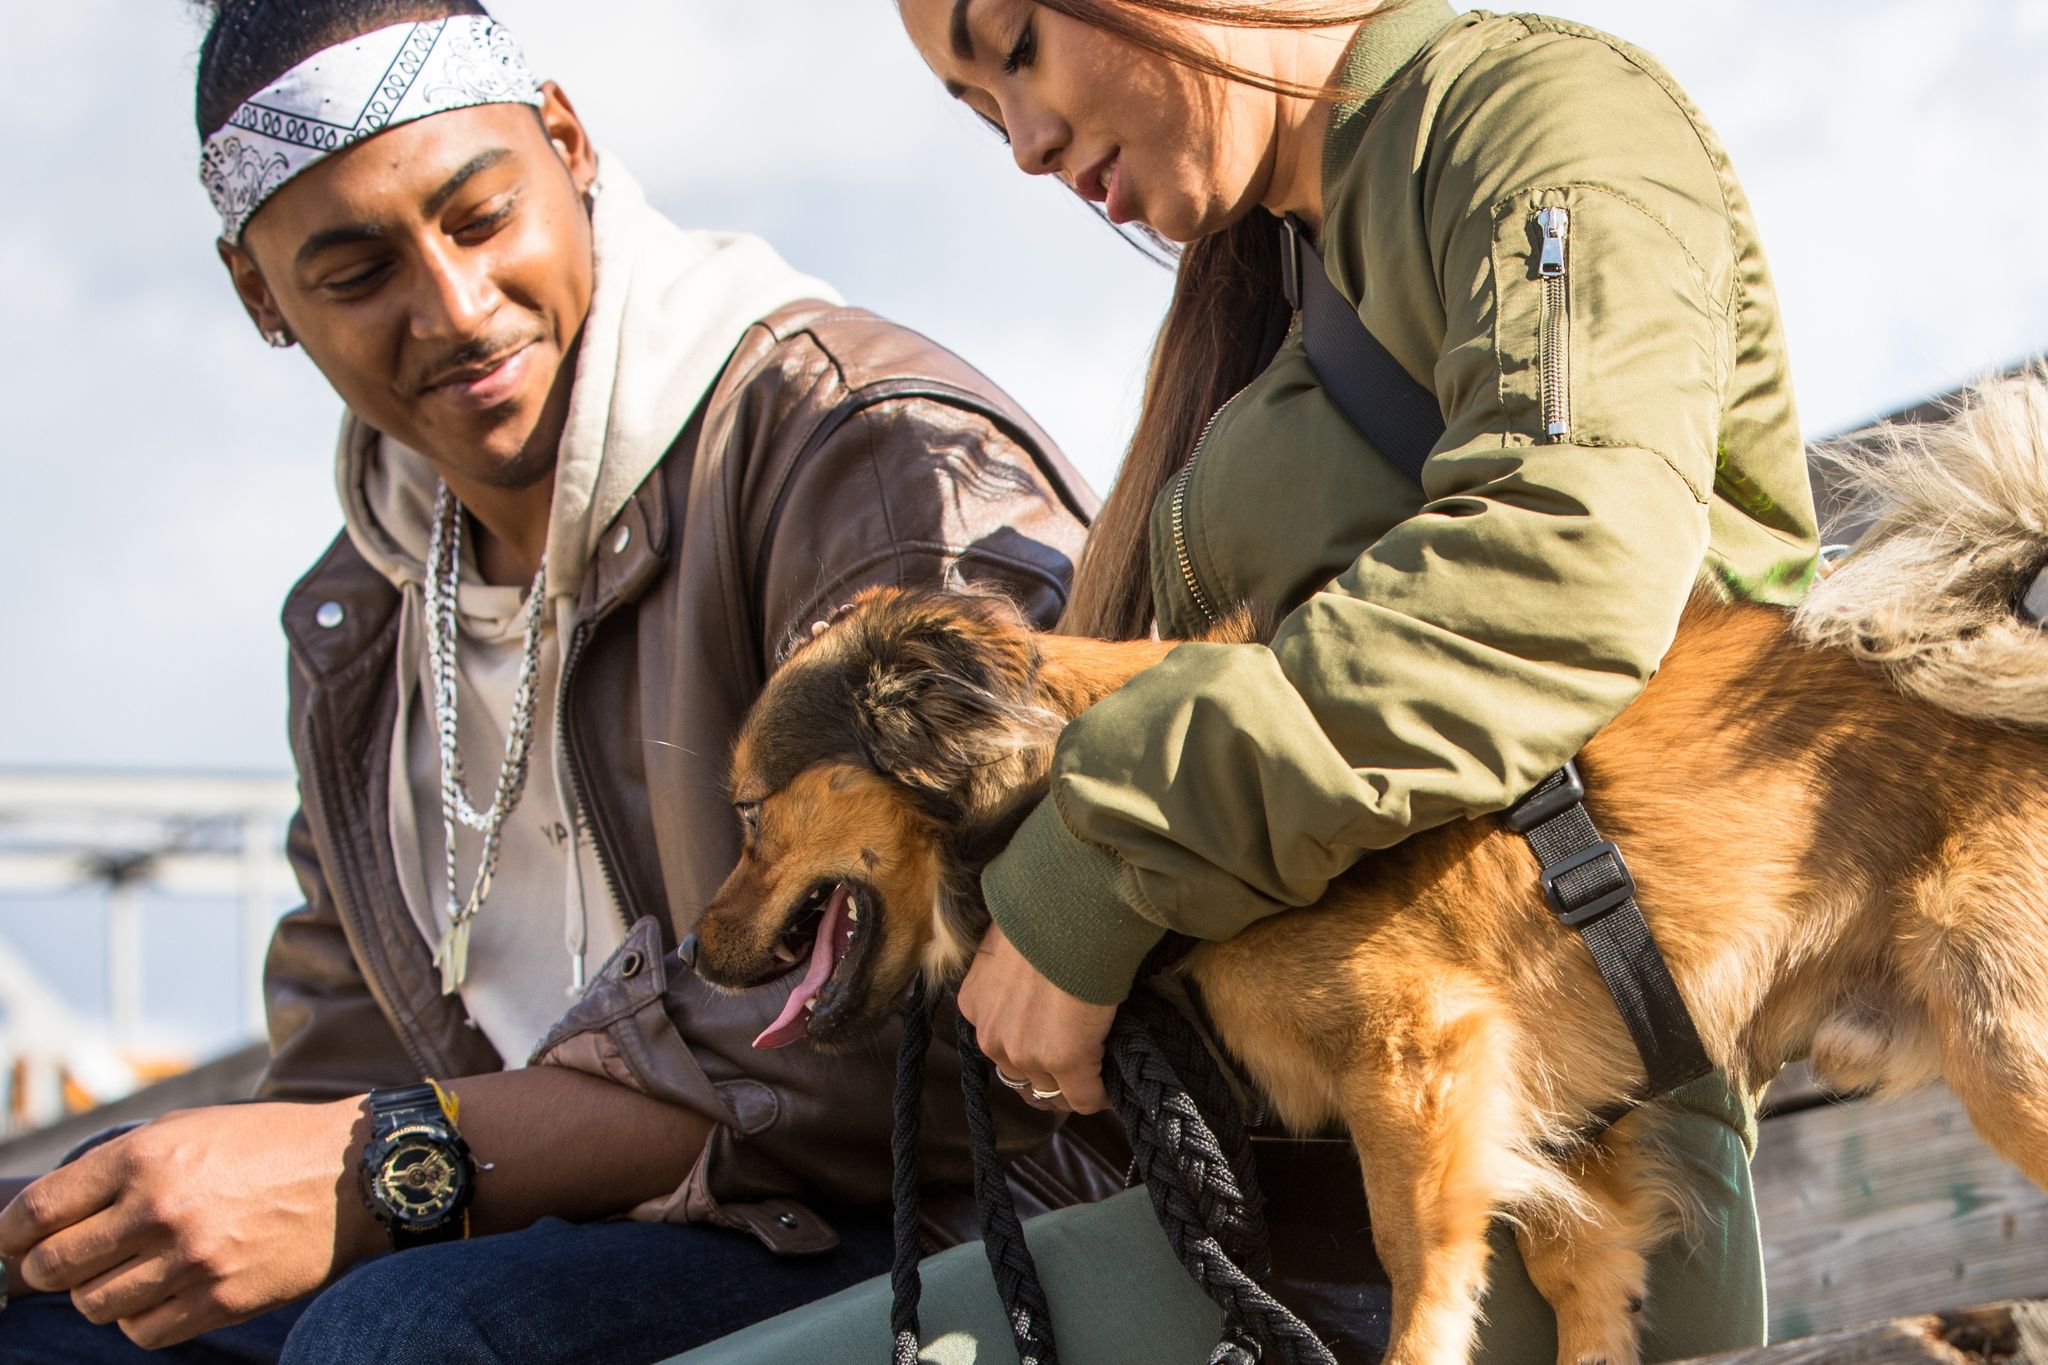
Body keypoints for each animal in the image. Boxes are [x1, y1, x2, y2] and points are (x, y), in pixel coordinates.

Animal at [688, 376, 2048, 1365]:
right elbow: (1580, 1288)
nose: (692, 952)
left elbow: (1415, 1271)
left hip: (2004, 1047)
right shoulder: (1575, 1148)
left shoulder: (1417, 1062)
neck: (1067, 800)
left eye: (748, 814)